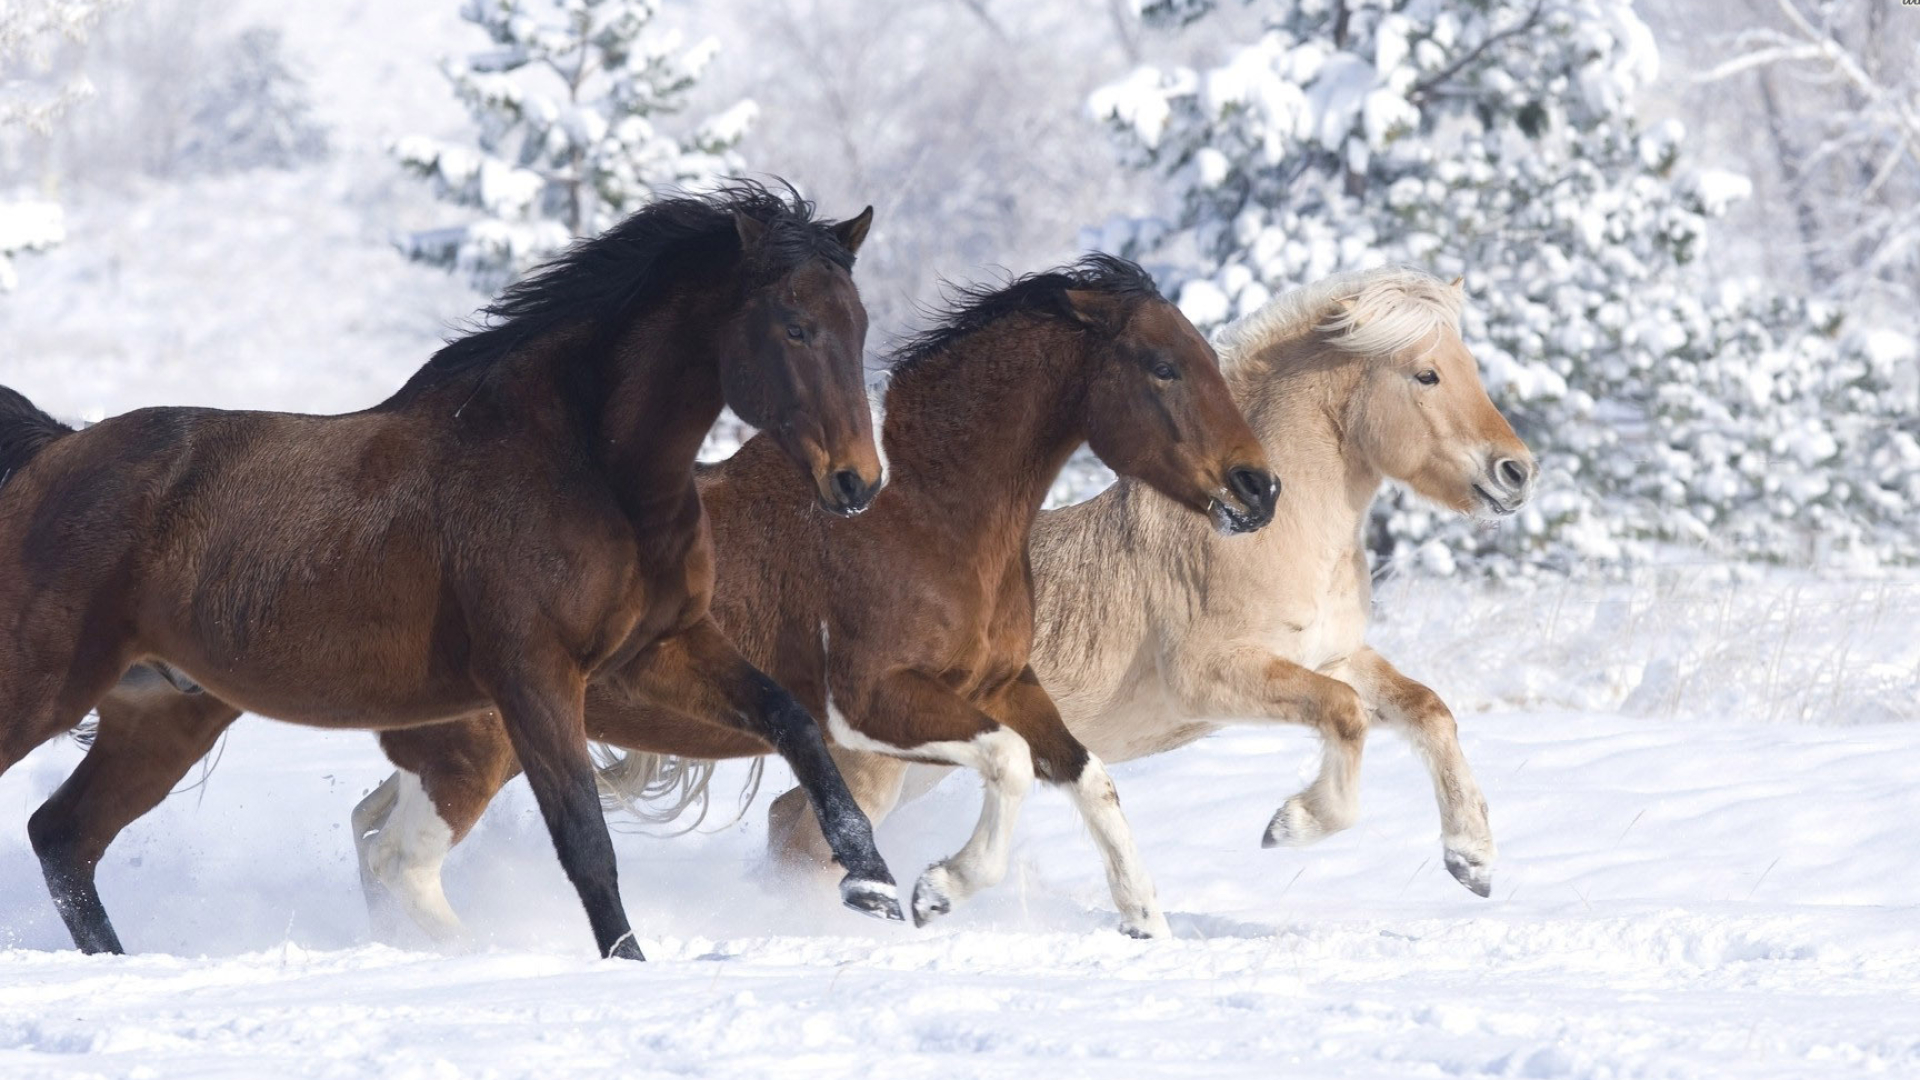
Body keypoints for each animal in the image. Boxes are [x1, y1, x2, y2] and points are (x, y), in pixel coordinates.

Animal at [0, 180, 898, 953]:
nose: (858, 482)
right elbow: (587, 844)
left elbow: (793, 721)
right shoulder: (534, 677)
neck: (587, 464)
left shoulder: (655, 650)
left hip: (162, 713)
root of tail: (49, 455)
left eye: (857, 324)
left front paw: (874, 886)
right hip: (43, 686)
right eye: (794, 325)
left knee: (64, 839)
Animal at [771, 265, 1536, 895]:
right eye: (1426, 375)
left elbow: (1427, 709)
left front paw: (1472, 859)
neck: (1269, 533)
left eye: (1469, 366)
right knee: (806, 838)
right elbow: (1346, 714)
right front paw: (1290, 825)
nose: (1517, 472)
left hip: (921, 766)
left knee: (789, 821)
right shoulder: (1213, 675)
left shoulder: (1331, 654)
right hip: (879, 766)